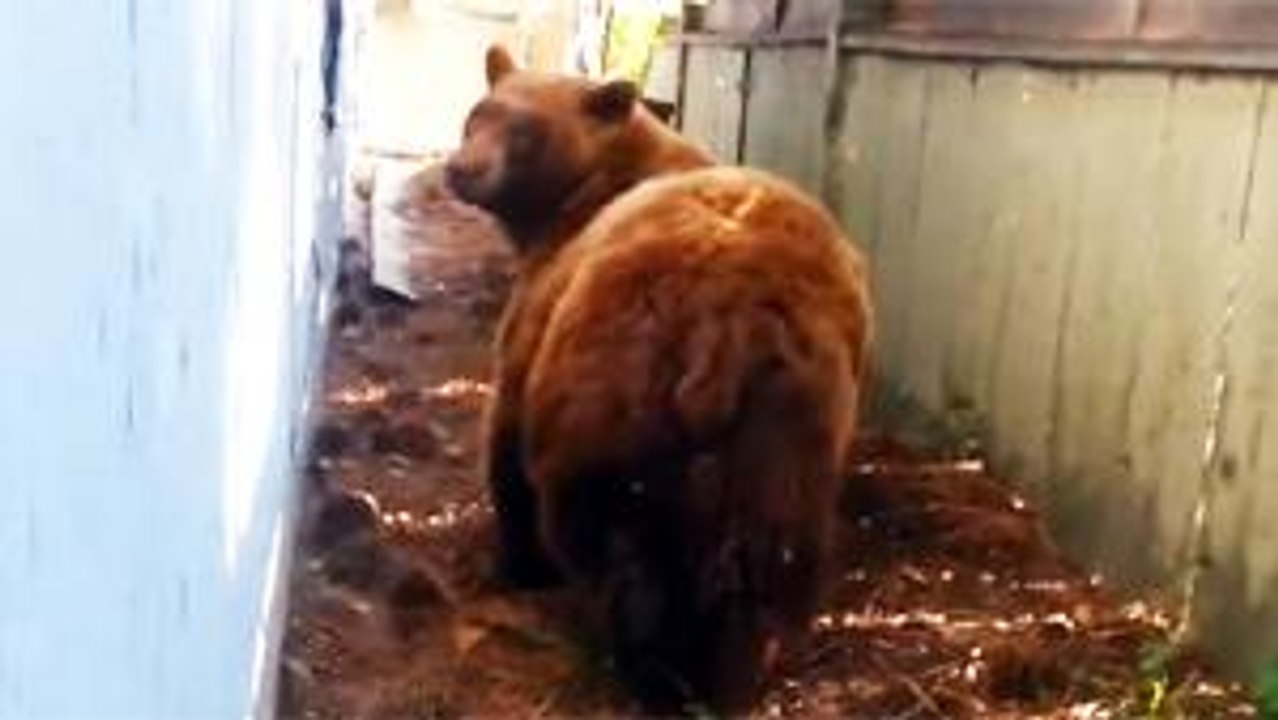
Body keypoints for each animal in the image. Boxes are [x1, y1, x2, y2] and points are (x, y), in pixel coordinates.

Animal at [445, 45, 874, 715]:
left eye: (523, 130)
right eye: (478, 113)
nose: (461, 169)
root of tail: (739, 319)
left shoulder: (541, 312)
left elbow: (504, 436)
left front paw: (513, 566)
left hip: (617, 395)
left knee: (621, 543)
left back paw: (650, 669)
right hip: (793, 425)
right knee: (770, 557)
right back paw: (738, 672)